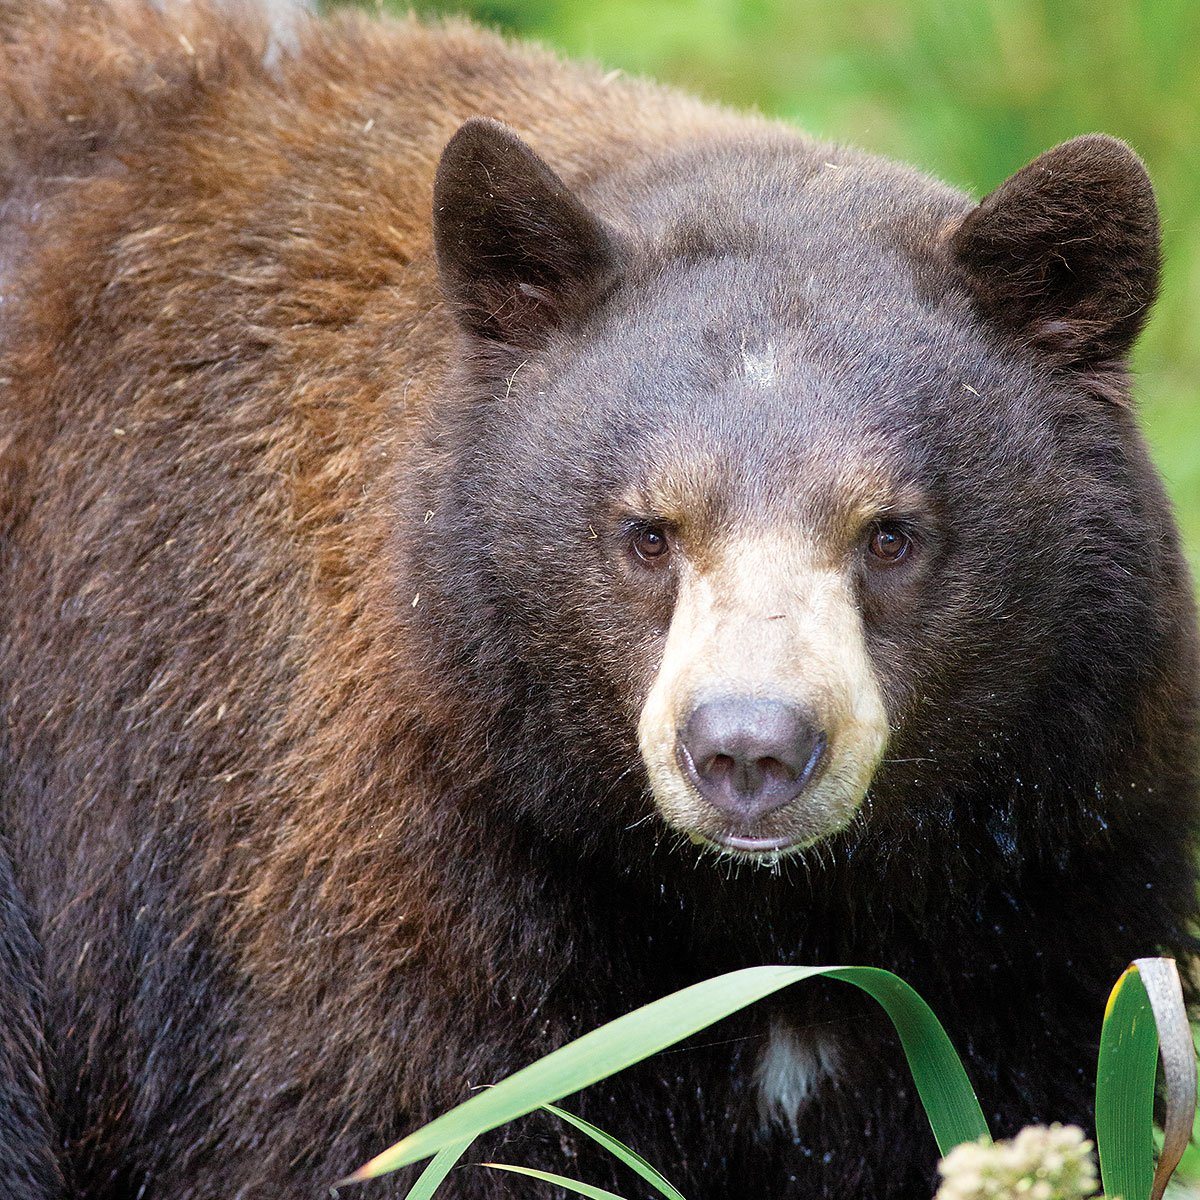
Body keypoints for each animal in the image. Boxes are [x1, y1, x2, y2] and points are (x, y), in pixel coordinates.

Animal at [0, 3, 1197, 1198]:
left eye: (890, 535)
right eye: (648, 533)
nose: (749, 749)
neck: (766, 914)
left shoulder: (1043, 890)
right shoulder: (373, 890)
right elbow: (398, 1127)